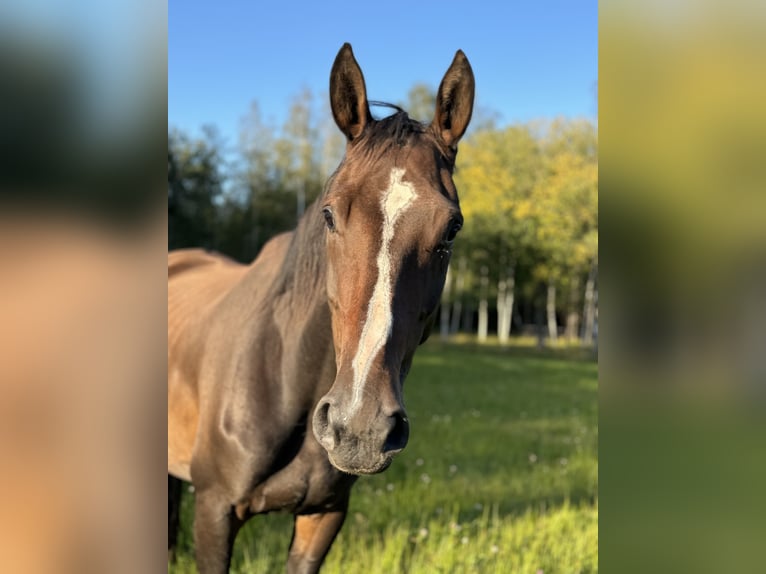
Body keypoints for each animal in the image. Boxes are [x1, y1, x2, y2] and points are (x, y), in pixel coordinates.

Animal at [170, 44, 474, 574]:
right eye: (329, 214)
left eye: (451, 229)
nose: (360, 428)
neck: (279, 372)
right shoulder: (213, 513)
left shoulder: (324, 517)